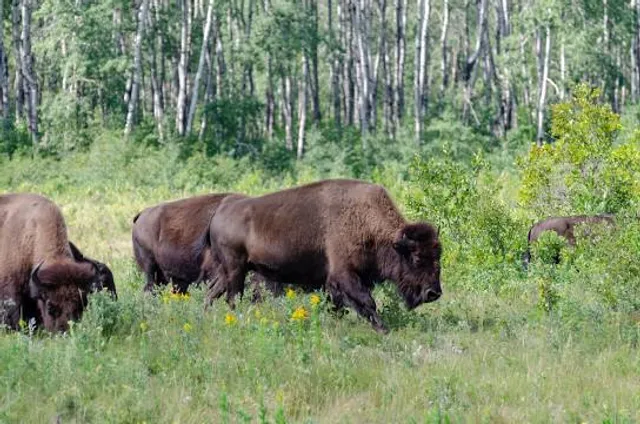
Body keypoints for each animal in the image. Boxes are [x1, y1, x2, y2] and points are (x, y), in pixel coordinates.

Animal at [206, 179, 443, 333]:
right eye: (417, 258)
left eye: (438, 256)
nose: (433, 293)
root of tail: (220, 213)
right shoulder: (344, 275)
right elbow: (367, 301)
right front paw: (383, 329)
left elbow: (340, 306)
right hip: (236, 269)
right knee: (232, 297)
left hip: (228, 271)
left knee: (212, 292)